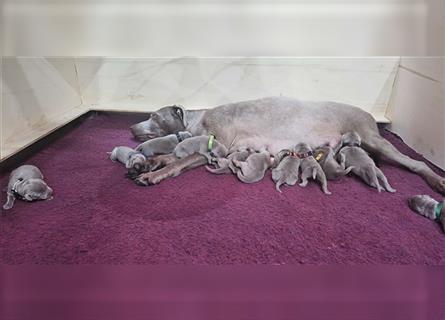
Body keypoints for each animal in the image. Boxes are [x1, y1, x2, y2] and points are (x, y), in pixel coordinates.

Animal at [128, 94, 444, 192]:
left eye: (153, 115)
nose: (131, 127)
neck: (198, 119)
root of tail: (369, 114)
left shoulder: (216, 146)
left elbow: (180, 161)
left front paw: (153, 174)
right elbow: (172, 156)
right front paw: (150, 162)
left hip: (372, 137)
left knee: (415, 163)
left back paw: (437, 181)